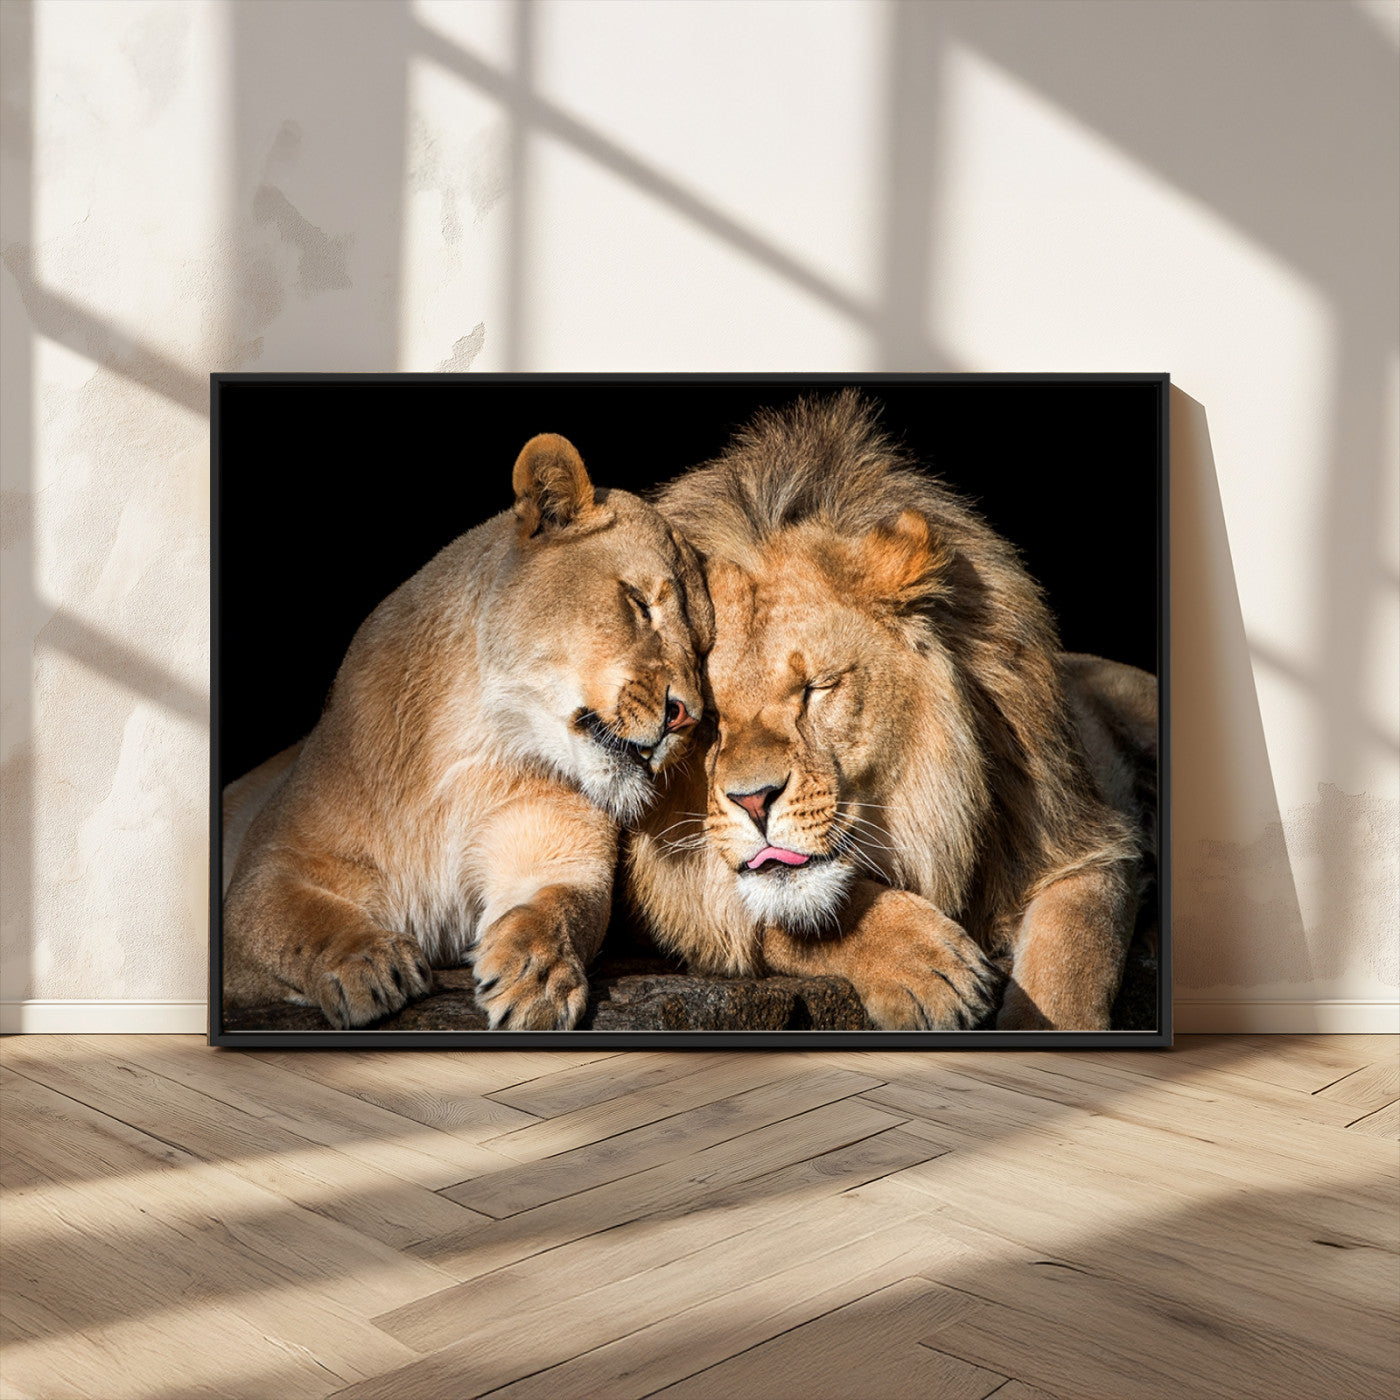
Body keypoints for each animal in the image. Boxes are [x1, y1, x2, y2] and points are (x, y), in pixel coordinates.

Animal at [222, 433, 713, 1029]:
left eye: (705, 649)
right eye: (640, 604)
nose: (687, 716)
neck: (473, 745)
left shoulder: (559, 855)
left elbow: (557, 909)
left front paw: (538, 977)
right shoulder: (266, 869)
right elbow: (298, 919)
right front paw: (367, 962)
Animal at [626, 392, 1155, 1031]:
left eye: (818, 687)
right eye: (704, 719)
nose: (753, 801)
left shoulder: (1085, 839)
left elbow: (1070, 962)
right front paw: (929, 966)